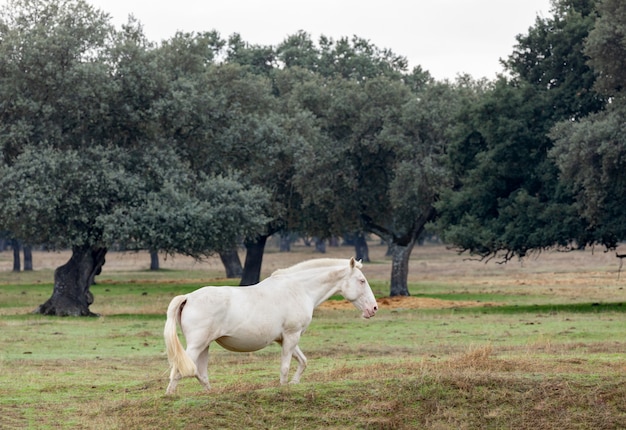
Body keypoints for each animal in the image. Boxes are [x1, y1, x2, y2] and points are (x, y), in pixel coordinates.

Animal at [162, 256, 376, 394]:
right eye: (361, 280)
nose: (373, 308)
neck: (299, 289)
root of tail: (188, 297)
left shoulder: (285, 339)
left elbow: (303, 362)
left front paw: (294, 383)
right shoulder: (291, 336)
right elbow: (285, 367)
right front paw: (283, 388)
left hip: (204, 346)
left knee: (200, 373)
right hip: (197, 346)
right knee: (179, 371)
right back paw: (170, 395)